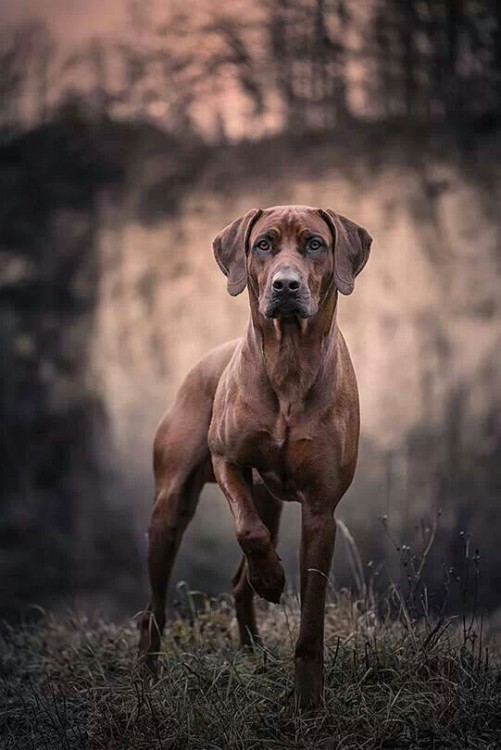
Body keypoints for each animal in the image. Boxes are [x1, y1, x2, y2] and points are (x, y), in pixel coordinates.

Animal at [138, 206, 372, 712]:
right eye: (263, 244)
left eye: (314, 244)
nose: (286, 285)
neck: (289, 362)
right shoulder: (227, 459)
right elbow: (248, 530)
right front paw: (271, 578)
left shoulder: (320, 509)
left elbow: (311, 619)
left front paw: (309, 701)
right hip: (171, 506)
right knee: (155, 606)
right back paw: (146, 676)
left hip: (270, 500)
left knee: (239, 581)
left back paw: (254, 651)